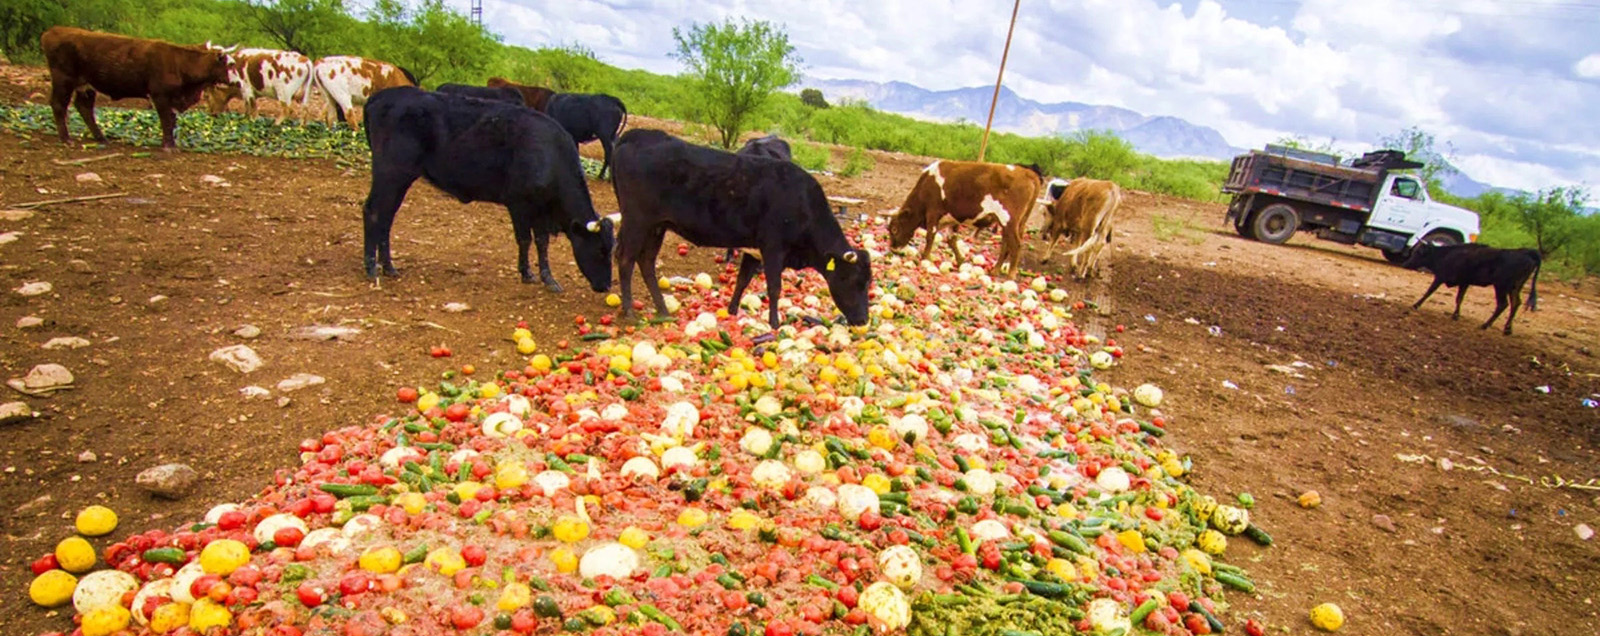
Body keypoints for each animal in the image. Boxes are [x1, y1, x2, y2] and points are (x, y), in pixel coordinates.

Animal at [40, 26, 228, 150]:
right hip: (63, 80)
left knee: (84, 108)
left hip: (86, 86)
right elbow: (166, 120)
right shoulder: (160, 95)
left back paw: (101, 138)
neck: (178, 60)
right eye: (228, 63)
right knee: (59, 105)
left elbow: (171, 120)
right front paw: (168, 146)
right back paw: (66, 139)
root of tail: (53, 31)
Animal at [361, 85, 611, 292]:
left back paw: (388, 266)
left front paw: (548, 278)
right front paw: (526, 273)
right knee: (373, 211)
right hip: (390, 173)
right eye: (600, 250)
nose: (606, 286)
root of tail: (380, 96)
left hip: (399, 179)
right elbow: (525, 239)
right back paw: (372, 267)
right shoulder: (519, 204)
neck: (550, 154)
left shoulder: (540, 209)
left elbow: (542, 242)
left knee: (386, 217)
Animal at [608, 129, 870, 327]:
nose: (863, 320)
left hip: (656, 227)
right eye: (851, 279)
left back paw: (662, 309)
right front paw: (774, 323)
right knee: (626, 259)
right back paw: (629, 310)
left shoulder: (753, 250)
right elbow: (774, 287)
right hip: (637, 222)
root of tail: (637, 135)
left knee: (646, 262)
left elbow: (742, 280)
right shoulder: (774, 248)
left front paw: (733, 310)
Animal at [883, 159, 1043, 276]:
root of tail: (1026, 172)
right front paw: (960, 260)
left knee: (1015, 244)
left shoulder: (933, 212)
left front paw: (925, 257)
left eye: (895, 228)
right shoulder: (953, 218)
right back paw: (995, 270)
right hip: (1015, 222)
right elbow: (951, 240)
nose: (893, 247)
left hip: (1008, 218)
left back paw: (1010, 275)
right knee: (1006, 244)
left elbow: (930, 236)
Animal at [1401, 241, 1536, 335]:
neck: (1446, 255)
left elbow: (1429, 291)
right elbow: (1459, 298)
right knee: (1515, 303)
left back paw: (1485, 325)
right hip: (1514, 288)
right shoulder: (1464, 282)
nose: (1405, 263)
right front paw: (1455, 315)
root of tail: (1524, 252)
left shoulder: (1440, 277)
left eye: (1418, 253)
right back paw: (1507, 329)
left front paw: (1416, 305)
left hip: (1501, 287)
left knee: (1503, 304)